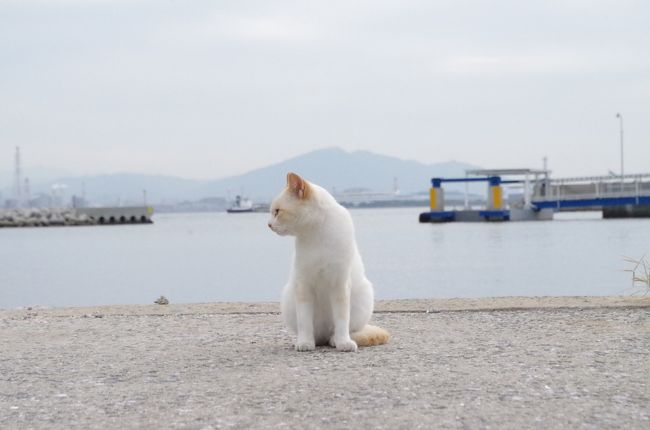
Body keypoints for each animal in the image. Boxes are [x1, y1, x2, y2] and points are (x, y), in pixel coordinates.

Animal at [266, 172, 388, 352]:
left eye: (277, 211)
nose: (268, 224)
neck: (316, 232)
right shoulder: (303, 285)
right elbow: (305, 322)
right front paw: (305, 342)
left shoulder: (340, 284)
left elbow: (342, 320)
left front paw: (343, 342)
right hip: (289, 296)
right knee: (316, 334)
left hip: (363, 297)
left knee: (339, 332)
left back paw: (336, 340)